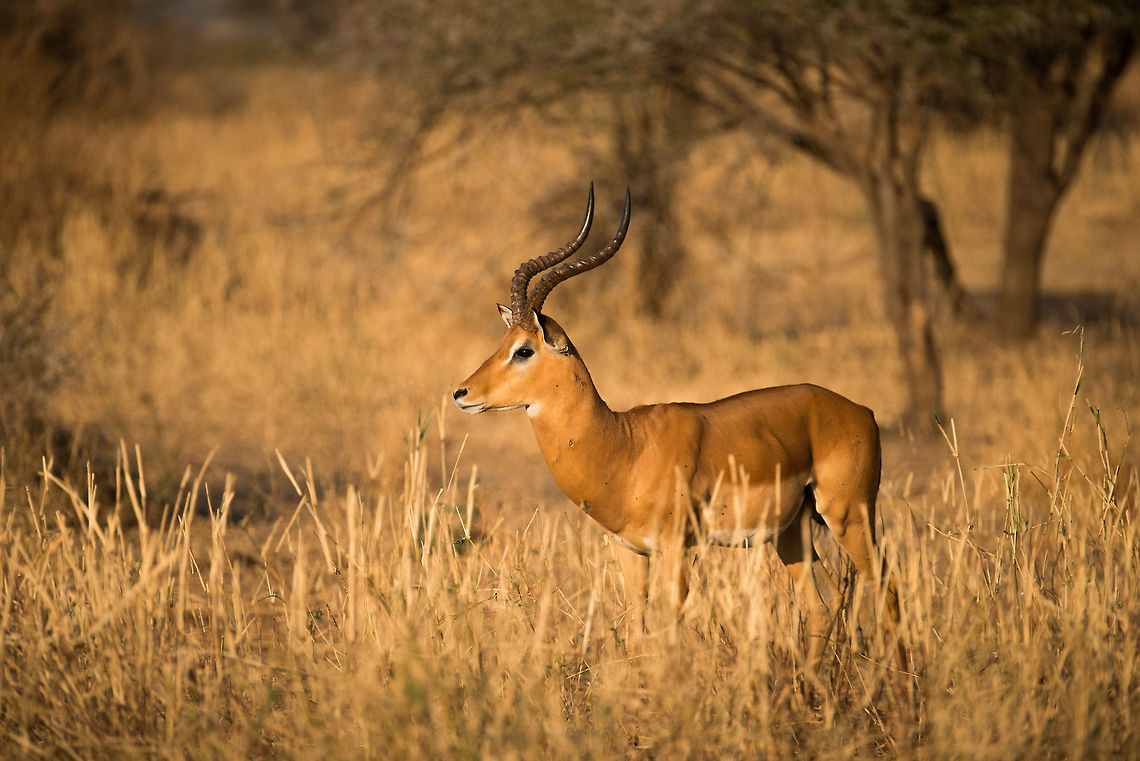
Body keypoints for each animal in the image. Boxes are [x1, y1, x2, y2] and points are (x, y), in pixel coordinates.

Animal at [453, 185, 904, 670]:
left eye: (523, 350)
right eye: (503, 341)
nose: (461, 392)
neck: (624, 447)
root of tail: (861, 411)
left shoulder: (677, 549)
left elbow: (669, 633)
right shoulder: (629, 550)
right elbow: (638, 630)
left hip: (849, 515)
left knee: (887, 589)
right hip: (791, 532)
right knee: (825, 602)